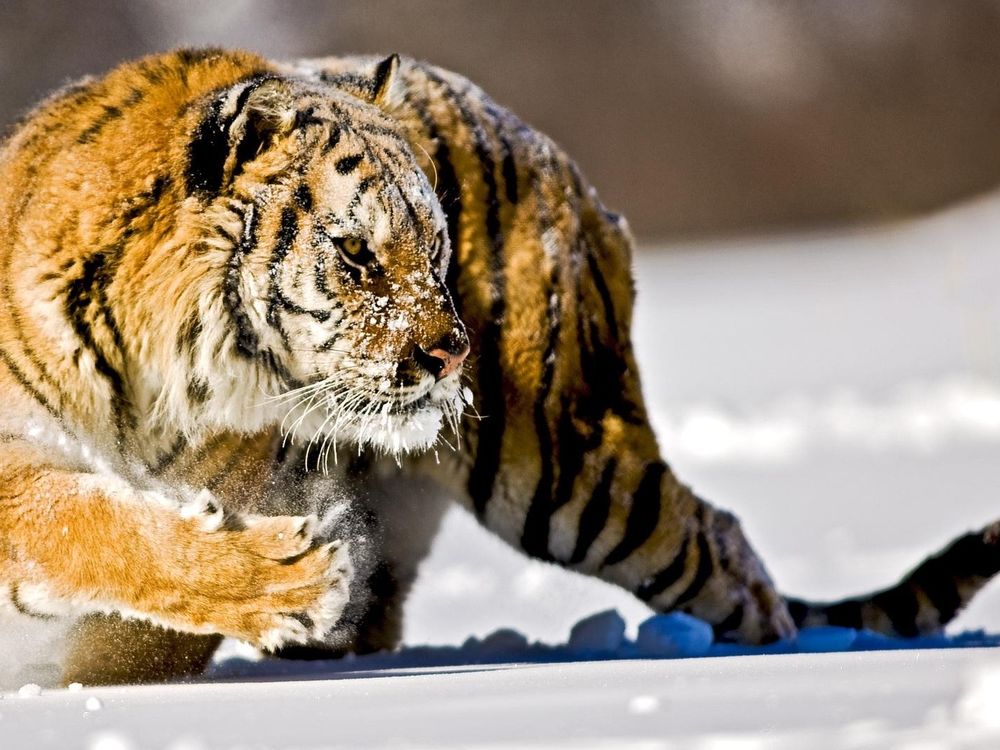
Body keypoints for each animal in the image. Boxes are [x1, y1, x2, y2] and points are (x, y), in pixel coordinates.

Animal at [0, 47, 997, 687]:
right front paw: (294, 580)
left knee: (728, 550)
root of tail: (546, 147)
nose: (453, 351)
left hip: (573, 473)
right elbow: (83, 522)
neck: (145, 377)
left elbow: (114, 577)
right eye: (357, 254)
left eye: (436, 251)